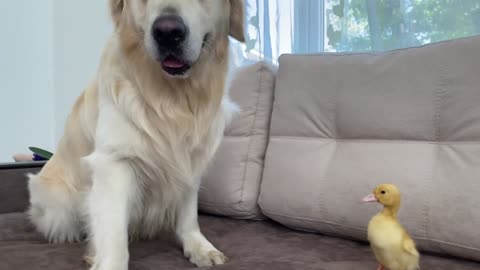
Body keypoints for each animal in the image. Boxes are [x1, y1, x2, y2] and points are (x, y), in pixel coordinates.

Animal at [26, 1, 244, 268]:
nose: (167, 32)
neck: (172, 98)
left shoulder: (191, 160)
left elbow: (188, 213)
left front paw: (199, 246)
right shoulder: (114, 162)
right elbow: (113, 231)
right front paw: (109, 262)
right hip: (55, 200)